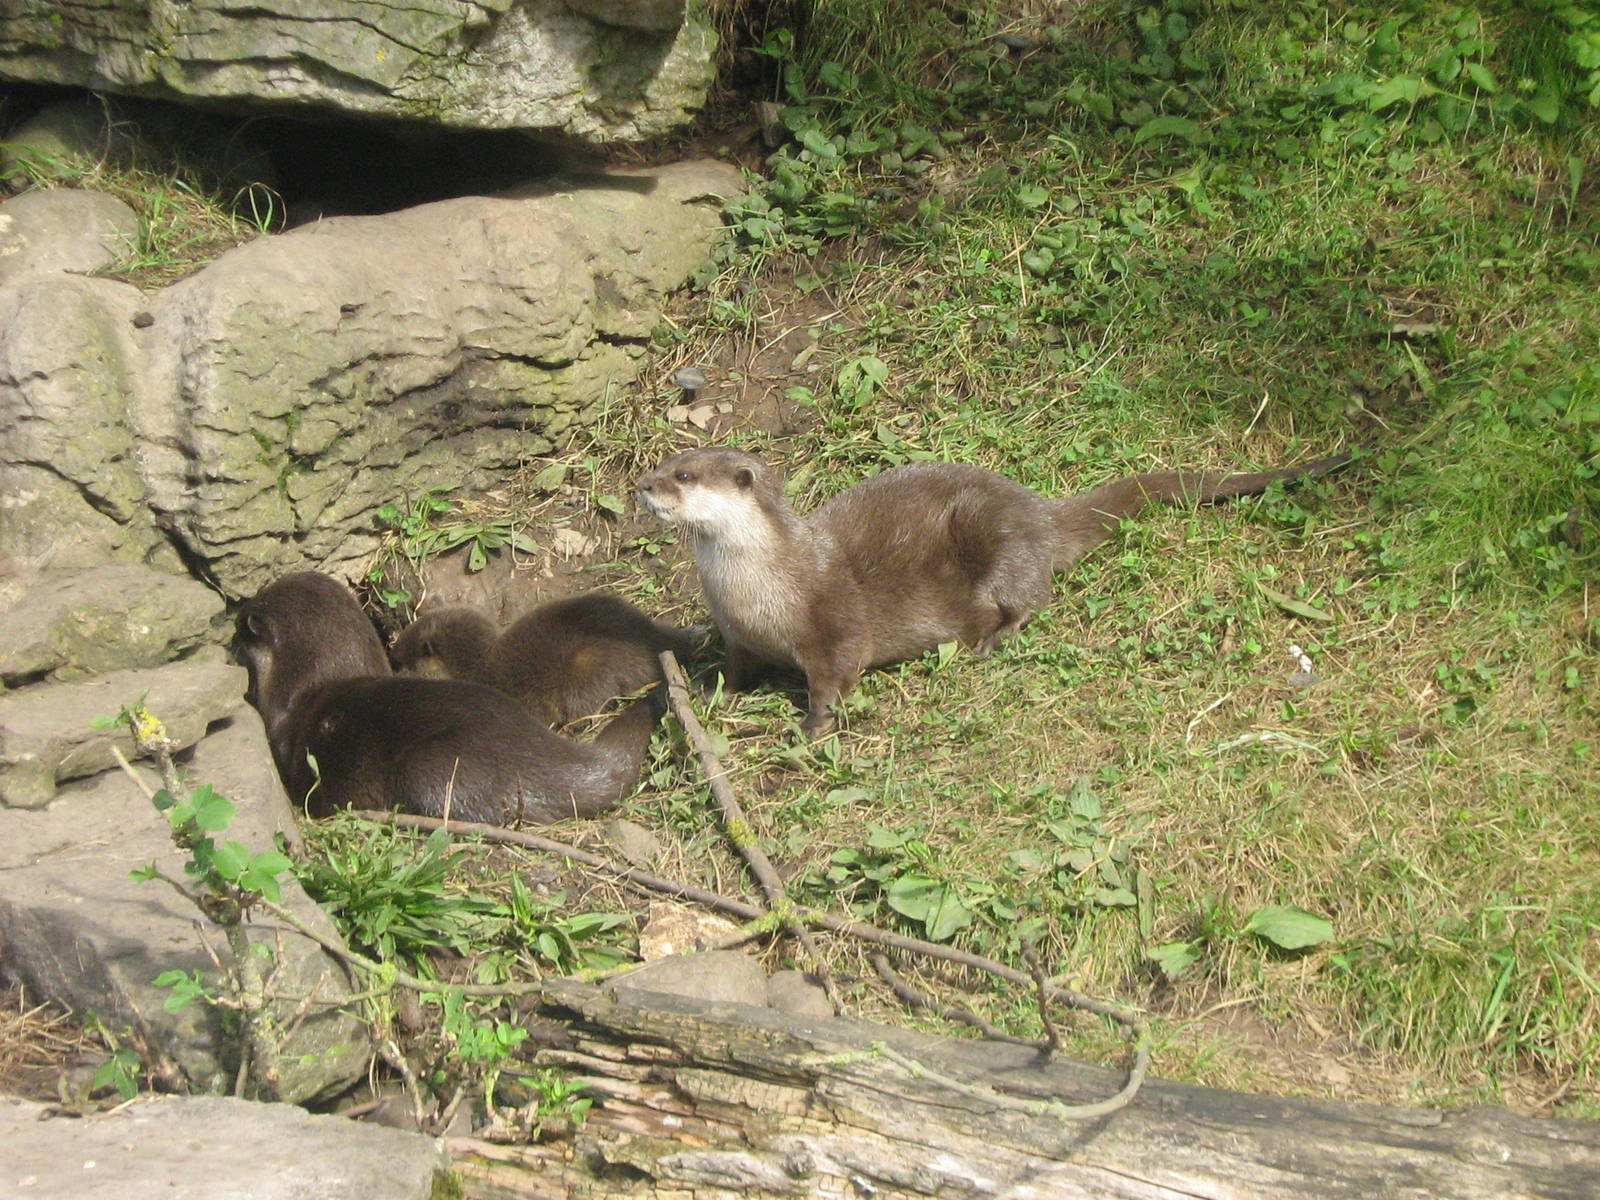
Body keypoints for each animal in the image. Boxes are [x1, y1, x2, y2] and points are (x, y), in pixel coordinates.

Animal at [636, 447, 1350, 734]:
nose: (643, 484)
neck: (759, 590)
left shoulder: (830, 621)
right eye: (664, 463)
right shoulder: (738, 633)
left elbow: (835, 673)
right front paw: (710, 691)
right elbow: (735, 668)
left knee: (1034, 596)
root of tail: (1040, 509)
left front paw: (811, 728)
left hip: (995, 535)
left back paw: (991, 640)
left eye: (684, 475)